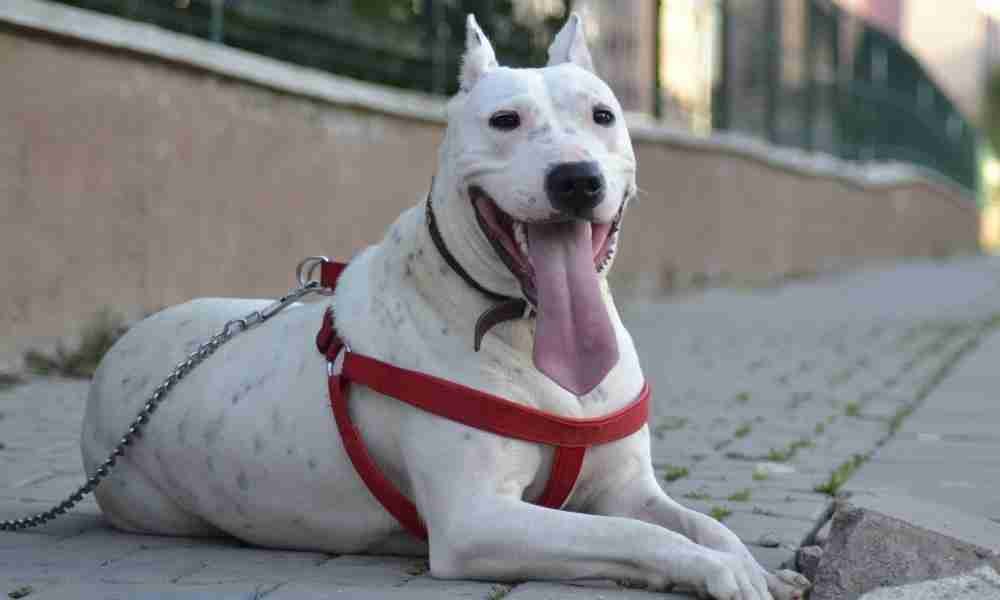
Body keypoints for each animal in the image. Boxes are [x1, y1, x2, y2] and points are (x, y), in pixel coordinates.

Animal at [80, 15, 812, 600]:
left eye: (602, 116)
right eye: (504, 120)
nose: (576, 179)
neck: (525, 329)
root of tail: (118, 353)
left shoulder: (628, 487)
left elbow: (704, 523)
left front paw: (753, 564)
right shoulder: (477, 520)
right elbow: (634, 536)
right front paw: (719, 572)